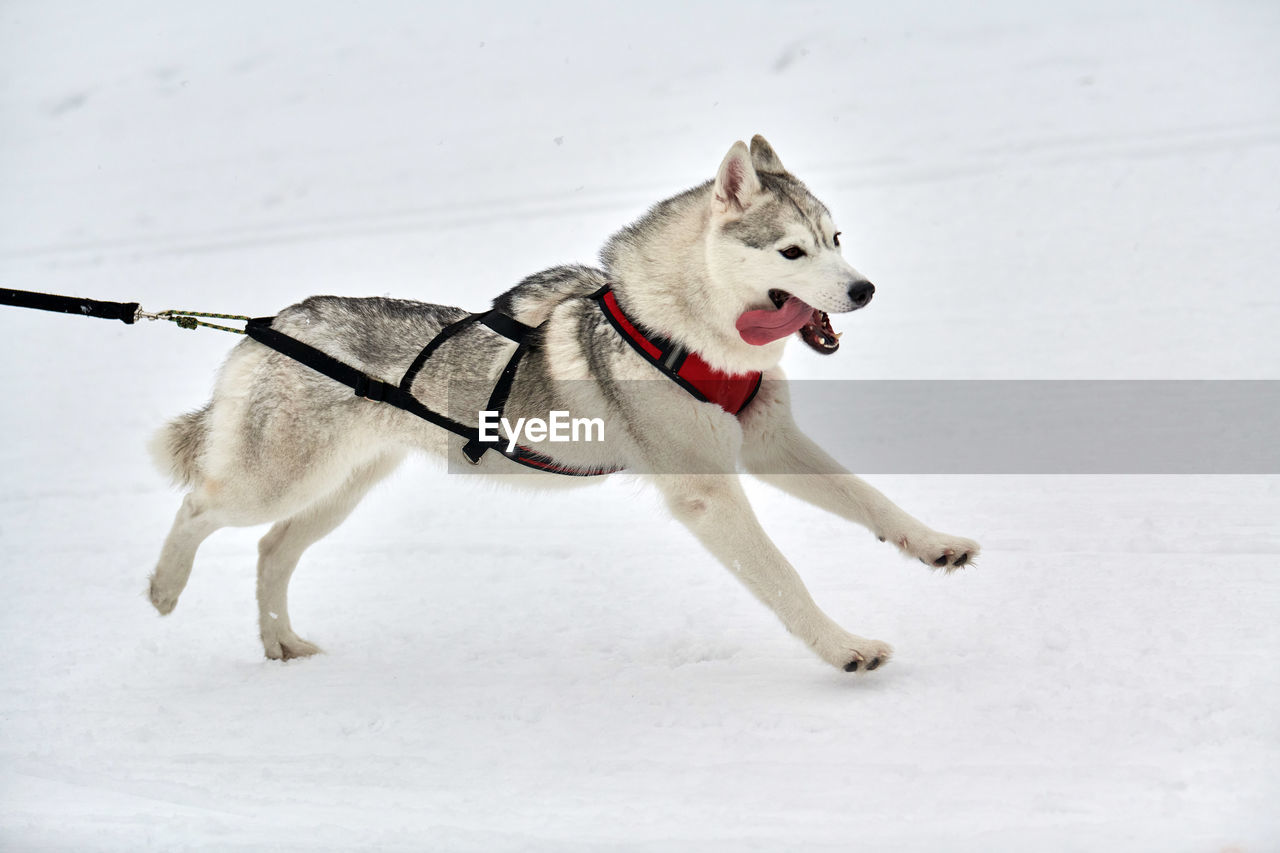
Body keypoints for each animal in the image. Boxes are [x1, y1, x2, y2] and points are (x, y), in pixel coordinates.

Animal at [147, 134, 977, 671]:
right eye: (792, 252)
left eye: (837, 238)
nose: (864, 289)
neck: (684, 332)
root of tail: (270, 324)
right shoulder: (707, 492)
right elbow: (784, 577)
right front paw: (844, 647)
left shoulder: (770, 444)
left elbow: (873, 500)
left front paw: (936, 545)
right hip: (278, 479)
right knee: (199, 508)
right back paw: (163, 589)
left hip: (340, 489)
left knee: (271, 549)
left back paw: (281, 643)